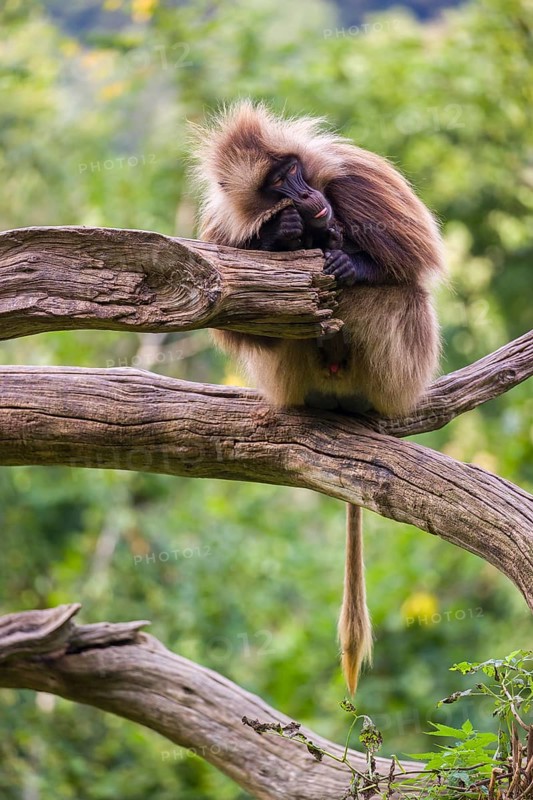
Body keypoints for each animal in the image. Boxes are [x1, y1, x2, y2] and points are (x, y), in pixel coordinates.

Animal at [191, 100, 446, 693]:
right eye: (276, 183)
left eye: (293, 169)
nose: (306, 196)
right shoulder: (223, 227)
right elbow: (237, 318)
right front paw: (280, 233)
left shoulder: (358, 178)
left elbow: (417, 256)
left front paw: (346, 258)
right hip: (293, 380)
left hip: (400, 378)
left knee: (393, 294)